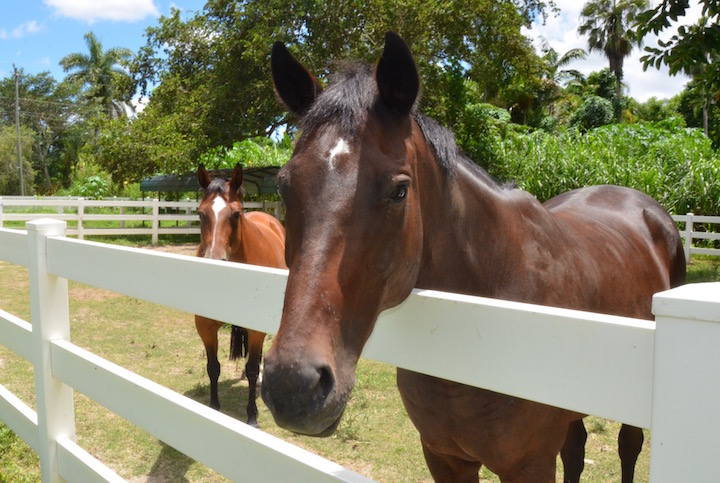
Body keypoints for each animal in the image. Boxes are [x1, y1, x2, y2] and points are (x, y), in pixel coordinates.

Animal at [197, 164, 286, 428]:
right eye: (200, 214)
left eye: (236, 215)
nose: (214, 263)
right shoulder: (205, 327)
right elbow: (213, 367)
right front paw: (213, 407)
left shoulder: (256, 330)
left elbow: (254, 367)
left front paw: (252, 416)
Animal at [260, 32, 688, 482]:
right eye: (284, 187)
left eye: (399, 191)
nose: (293, 384)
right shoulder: (443, 456)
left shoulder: (530, 465)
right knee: (576, 447)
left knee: (628, 446)